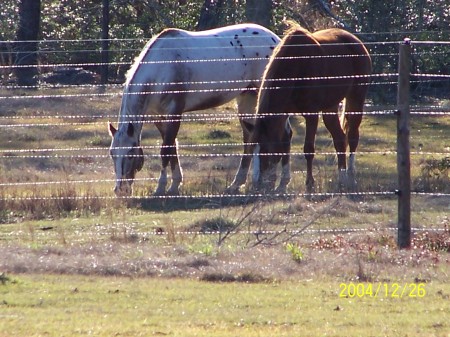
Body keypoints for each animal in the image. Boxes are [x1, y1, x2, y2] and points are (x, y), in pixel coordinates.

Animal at [109, 23, 280, 196]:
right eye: (112, 154)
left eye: (131, 154)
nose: (120, 190)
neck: (160, 68)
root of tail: (274, 39)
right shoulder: (158, 117)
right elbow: (172, 149)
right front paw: (175, 185)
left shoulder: (174, 113)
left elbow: (166, 150)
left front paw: (161, 188)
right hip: (247, 97)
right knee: (251, 137)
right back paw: (242, 183)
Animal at [250, 23, 372, 192]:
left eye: (267, 152)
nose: (261, 186)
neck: (296, 66)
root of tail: (356, 41)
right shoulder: (283, 113)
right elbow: (284, 143)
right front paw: (281, 186)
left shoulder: (311, 114)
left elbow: (308, 149)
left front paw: (309, 183)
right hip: (330, 107)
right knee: (340, 139)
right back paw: (341, 178)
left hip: (356, 99)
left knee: (353, 137)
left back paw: (351, 176)